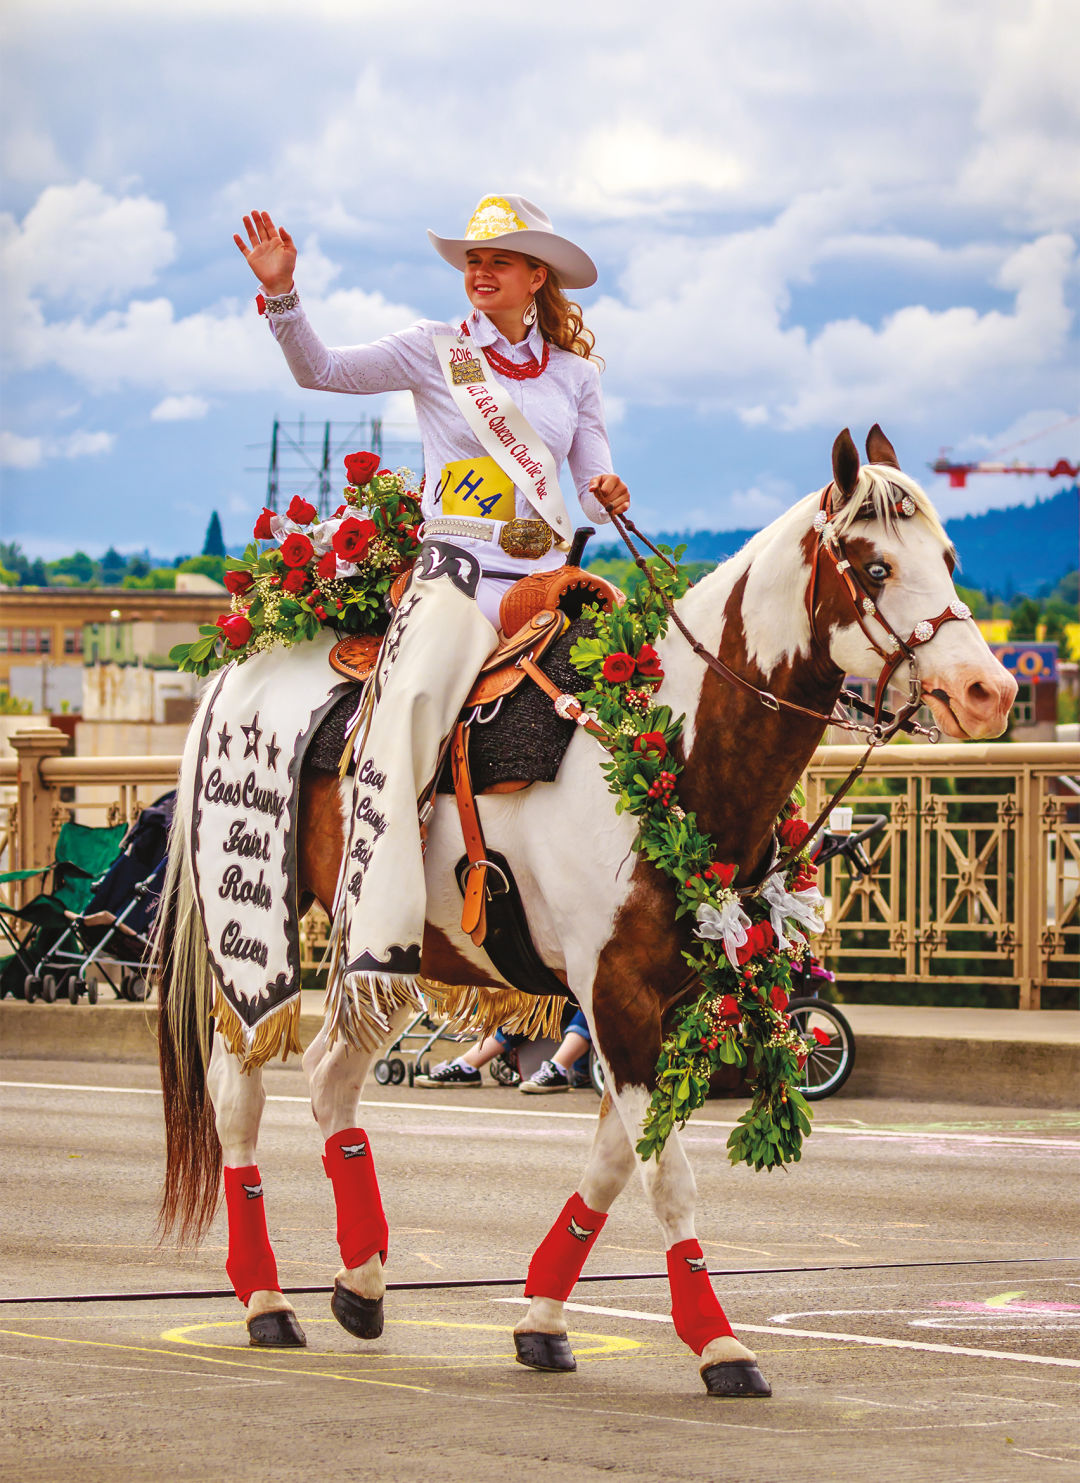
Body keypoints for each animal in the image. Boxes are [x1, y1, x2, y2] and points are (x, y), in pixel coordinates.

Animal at [155, 427, 1014, 1388]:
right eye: (872, 566)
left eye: (949, 557)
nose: (990, 691)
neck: (670, 747)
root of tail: (243, 660)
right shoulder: (616, 995)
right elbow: (666, 1176)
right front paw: (719, 1341)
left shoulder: (675, 1004)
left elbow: (612, 1164)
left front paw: (541, 1317)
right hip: (257, 929)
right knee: (239, 1093)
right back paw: (267, 1299)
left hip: (391, 947)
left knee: (331, 1077)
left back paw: (364, 1280)